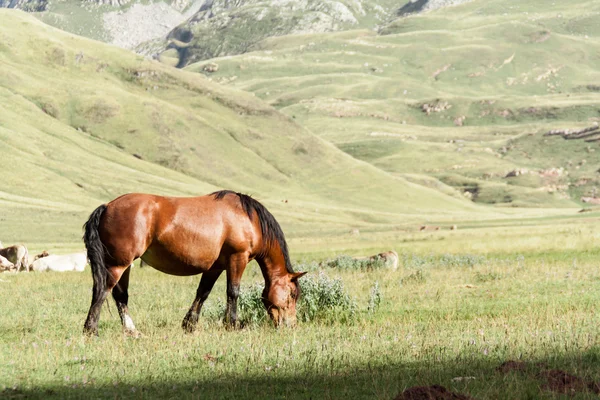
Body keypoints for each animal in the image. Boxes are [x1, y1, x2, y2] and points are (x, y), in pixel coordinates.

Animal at [82, 191, 308, 338]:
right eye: (291, 295)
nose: (291, 325)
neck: (248, 218)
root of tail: (108, 206)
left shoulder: (215, 267)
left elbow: (203, 292)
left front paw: (189, 324)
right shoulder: (237, 258)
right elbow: (233, 292)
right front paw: (233, 324)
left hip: (125, 265)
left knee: (120, 295)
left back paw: (131, 330)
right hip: (118, 265)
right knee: (102, 290)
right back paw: (91, 329)